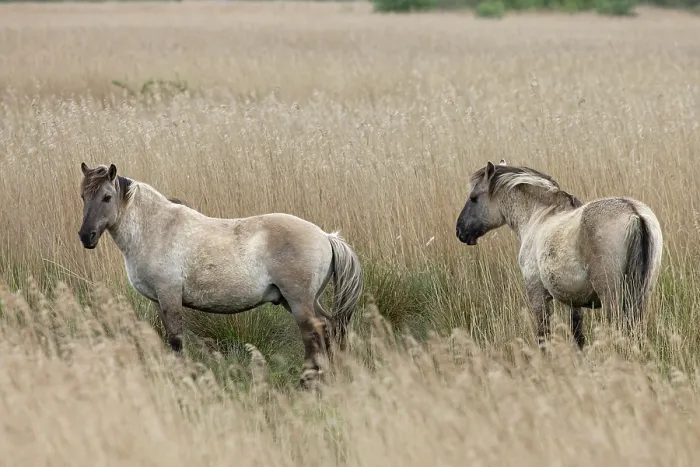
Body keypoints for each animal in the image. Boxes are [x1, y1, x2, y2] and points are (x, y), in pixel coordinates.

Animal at [77, 162, 363, 387]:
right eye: (82, 196)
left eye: (106, 197)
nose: (86, 237)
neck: (157, 229)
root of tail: (325, 236)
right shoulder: (159, 300)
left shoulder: (169, 296)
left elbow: (176, 339)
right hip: (301, 301)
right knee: (328, 328)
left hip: (299, 301)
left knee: (313, 335)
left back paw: (307, 383)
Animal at [455, 160, 663, 351]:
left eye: (473, 198)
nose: (460, 231)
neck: (539, 215)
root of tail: (634, 213)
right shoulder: (575, 302)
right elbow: (578, 336)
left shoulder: (537, 295)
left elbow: (544, 337)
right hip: (642, 296)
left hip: (612, 298)